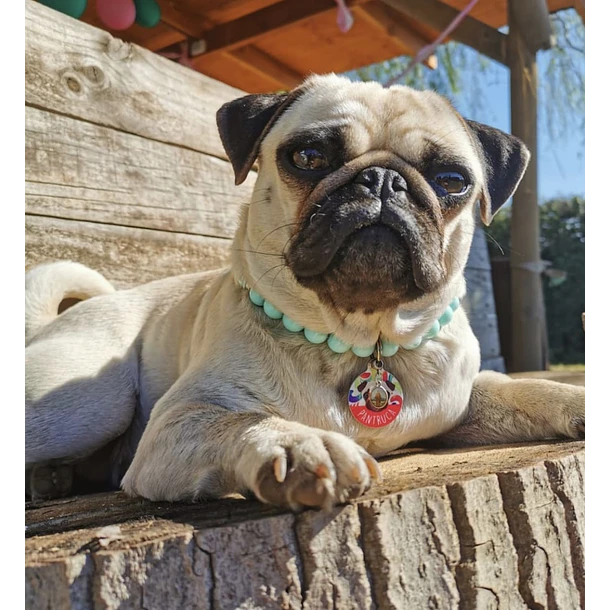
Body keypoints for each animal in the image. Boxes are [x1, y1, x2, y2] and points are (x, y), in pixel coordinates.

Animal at [24, 74, 585, 509]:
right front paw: (302, 448)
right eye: (310, 156)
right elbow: (245, 420)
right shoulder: (177, 424)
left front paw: (577, 398)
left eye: (452, 180)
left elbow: (519, 388)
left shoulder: (460, 399)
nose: (383, 180)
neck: (362, 338)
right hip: (85, 403)